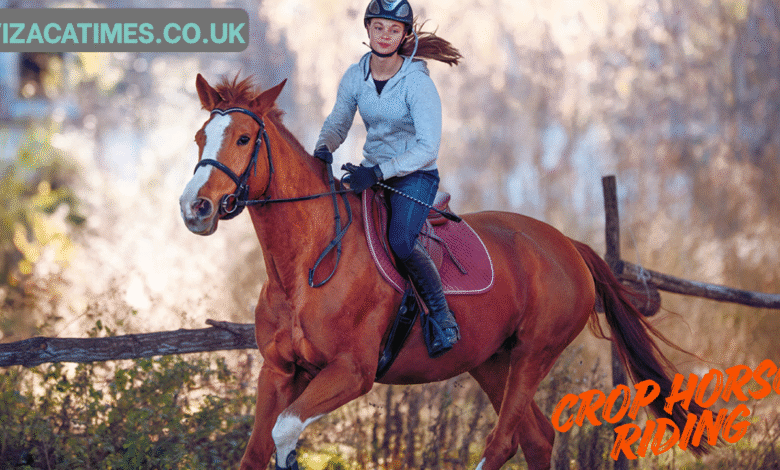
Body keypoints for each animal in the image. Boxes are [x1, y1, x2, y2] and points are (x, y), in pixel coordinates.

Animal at [179, 74, 706, 470]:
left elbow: (285, 431)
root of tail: (567, 245)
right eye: (201, 138)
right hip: (491, 361)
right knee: (535, 438)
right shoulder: (279, 372)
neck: (305, 267)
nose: (195, 208)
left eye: (244, 138)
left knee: (503, 441)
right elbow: (258, 450)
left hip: (534, 354)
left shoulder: (351, 372)